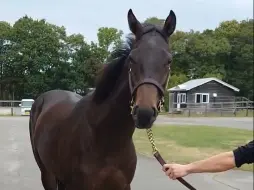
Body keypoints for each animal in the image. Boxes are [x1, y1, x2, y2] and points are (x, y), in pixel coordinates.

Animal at [29, 8, 177, 190]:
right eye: (132, 59)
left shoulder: (123, 185)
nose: (144, 113)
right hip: (47, 174)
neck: (106, 138)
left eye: (169, 61)